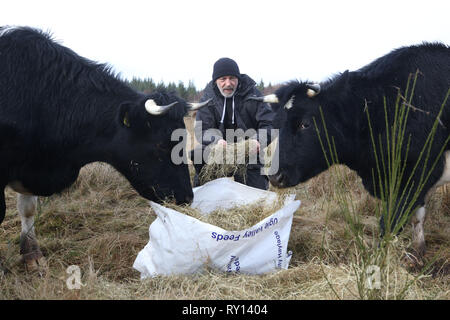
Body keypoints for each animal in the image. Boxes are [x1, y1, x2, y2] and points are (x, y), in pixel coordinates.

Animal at [250, 42, 450, 258]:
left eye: (305, 124)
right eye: (276, 124)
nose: (274, 177)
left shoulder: (415, 175)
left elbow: (391, 224)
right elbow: (417, 218)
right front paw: (418, 254)